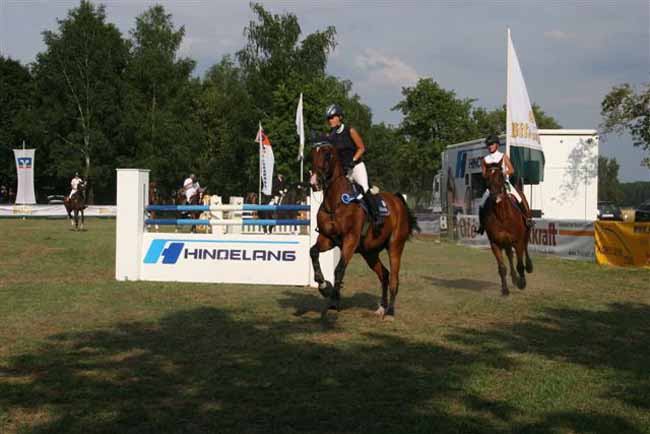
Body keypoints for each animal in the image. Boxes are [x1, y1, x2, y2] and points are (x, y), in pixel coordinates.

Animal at [309, 142, 418, 320]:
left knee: (394, 277)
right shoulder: (327, 239)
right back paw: (382, 308)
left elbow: (339, 269)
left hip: (395, 246)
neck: (335, 203)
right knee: (384, 274)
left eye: (327, 155)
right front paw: (324, 286)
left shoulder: (350, 240)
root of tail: (397, 201)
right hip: (370, 252)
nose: (314, 182)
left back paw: (390, 312)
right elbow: (313, 252)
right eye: (311, 155)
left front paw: (333, 302)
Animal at [482, 161, 534, 295]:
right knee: (510, 255)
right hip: (506, 242)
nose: (495, 197)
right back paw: (514, 278)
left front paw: (522, 283)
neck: (502, 216)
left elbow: (520, 264)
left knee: (525, 247)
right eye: (487, 178)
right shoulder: (495, 243)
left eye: (501, 176)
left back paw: (528, 267)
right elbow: (502, 268)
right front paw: (505, 290)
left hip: (526, 231)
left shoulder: (517, 241)